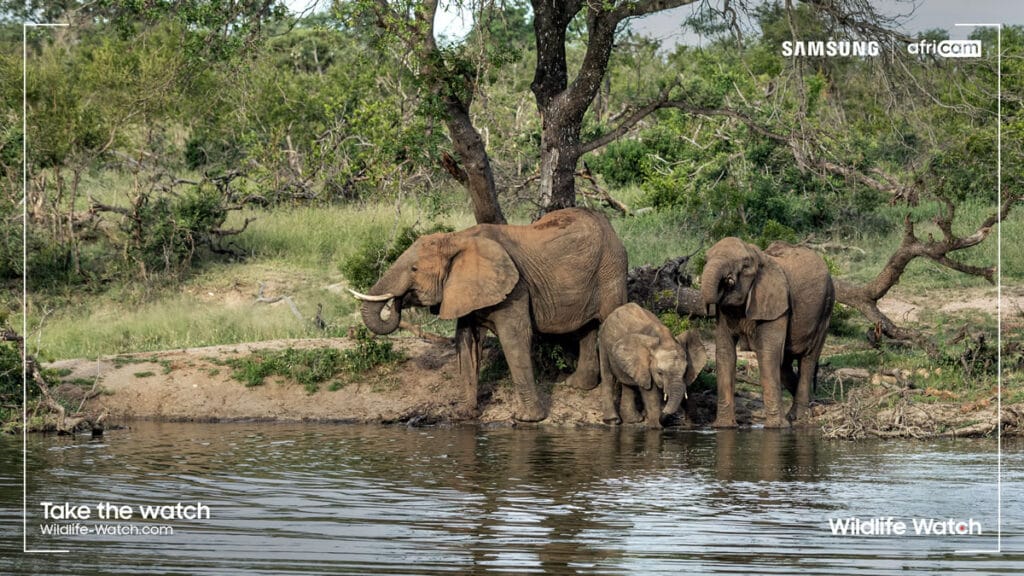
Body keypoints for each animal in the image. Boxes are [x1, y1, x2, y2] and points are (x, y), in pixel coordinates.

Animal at [349, 208, 628, 422]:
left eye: (415, 269)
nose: (398, 300)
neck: (457, 238)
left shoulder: (515, 287)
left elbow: (514, 339)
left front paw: (527, 419)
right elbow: (466, 341)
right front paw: (465, 415)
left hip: (611, 268)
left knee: (608, 321)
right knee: (586, 328)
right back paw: (577, 386)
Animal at [700, 238, 834, 428]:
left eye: (745, 265)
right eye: (705, 259)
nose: (728, 280)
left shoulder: (776, 305)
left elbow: (767, 355)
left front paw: (776, 427)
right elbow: (725, 354)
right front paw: (724, 427)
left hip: (826, 310)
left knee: (808, 359)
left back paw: (798, 417)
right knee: (785, 366)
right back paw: (814, 408)